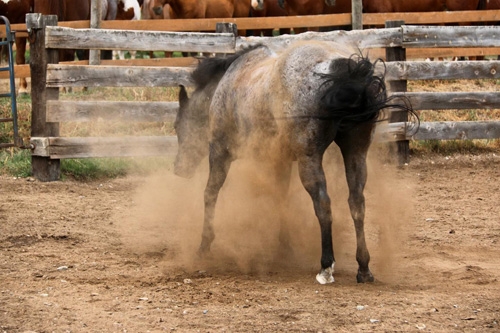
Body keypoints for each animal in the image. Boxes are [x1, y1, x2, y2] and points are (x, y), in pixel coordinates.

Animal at [174, 41, 416, 284]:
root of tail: (345, 72)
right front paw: (284, 247)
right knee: (357, 203)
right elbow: (281, 198)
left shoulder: (219, 151)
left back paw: (326, 266)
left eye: (177, 126)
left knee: (323, 204)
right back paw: (363, 267)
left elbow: (210, 193)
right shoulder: (281, 161)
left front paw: (204, 245)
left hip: (309, 159)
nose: (179, 169)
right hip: (355, 153)